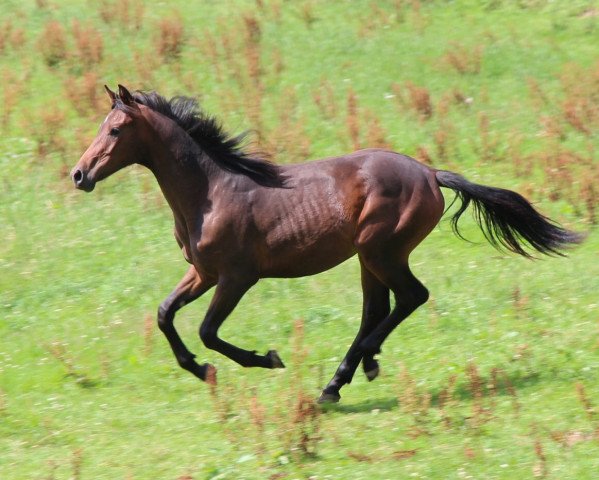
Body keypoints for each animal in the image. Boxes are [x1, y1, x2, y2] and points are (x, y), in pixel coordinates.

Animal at [69, 84, 580, 404]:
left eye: (115, 130)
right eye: (100, 125)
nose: (79, 174)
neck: (210, 192)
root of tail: (431, 174)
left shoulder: (237, 277)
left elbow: (208, 331)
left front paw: (266, 359)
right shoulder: (203, 273)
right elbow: (164, 314)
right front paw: (201, 370)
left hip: (381, 251)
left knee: (410, 297)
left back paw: (349, 371)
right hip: (369, 258)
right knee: (379, 308)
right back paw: (349, 374)